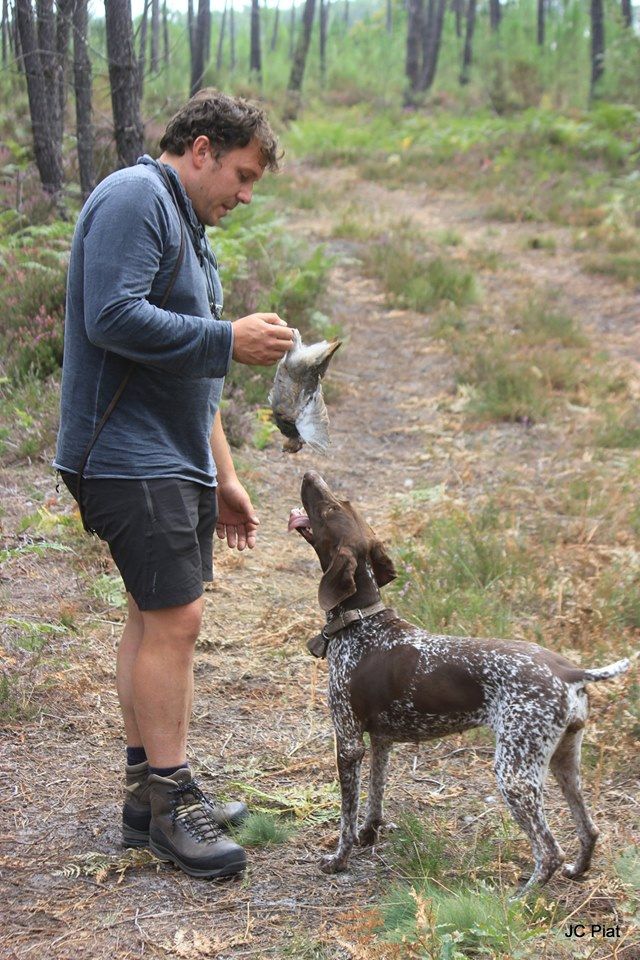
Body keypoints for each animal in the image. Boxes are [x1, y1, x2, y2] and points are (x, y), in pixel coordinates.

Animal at [288, 472, 636, 892]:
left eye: (327, 510)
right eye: (340, 503)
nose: (309, 475)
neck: (362, 621)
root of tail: (568, 671)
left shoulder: (349, 742)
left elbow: (347, 816)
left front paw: (339, 859)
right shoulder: (381, 740)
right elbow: (375, 795)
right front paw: (370, 834)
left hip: (514, 773)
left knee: (550, 850)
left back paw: (521, 898)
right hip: (564, 762)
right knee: (589, 830)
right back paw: (576, 871)